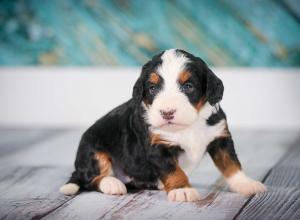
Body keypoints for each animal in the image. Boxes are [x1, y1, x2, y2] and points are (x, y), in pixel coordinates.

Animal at [59, 49, 266, 202]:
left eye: (188, 86)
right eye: (152, 88)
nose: (167, 112)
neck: (187, 126)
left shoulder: (220, 138)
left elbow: (231, 164)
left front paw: (246, 184)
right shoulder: (158, 147)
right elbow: (173, 169)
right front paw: (182, 189)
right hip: (93, 150)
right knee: (91, 179)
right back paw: (112, 184)